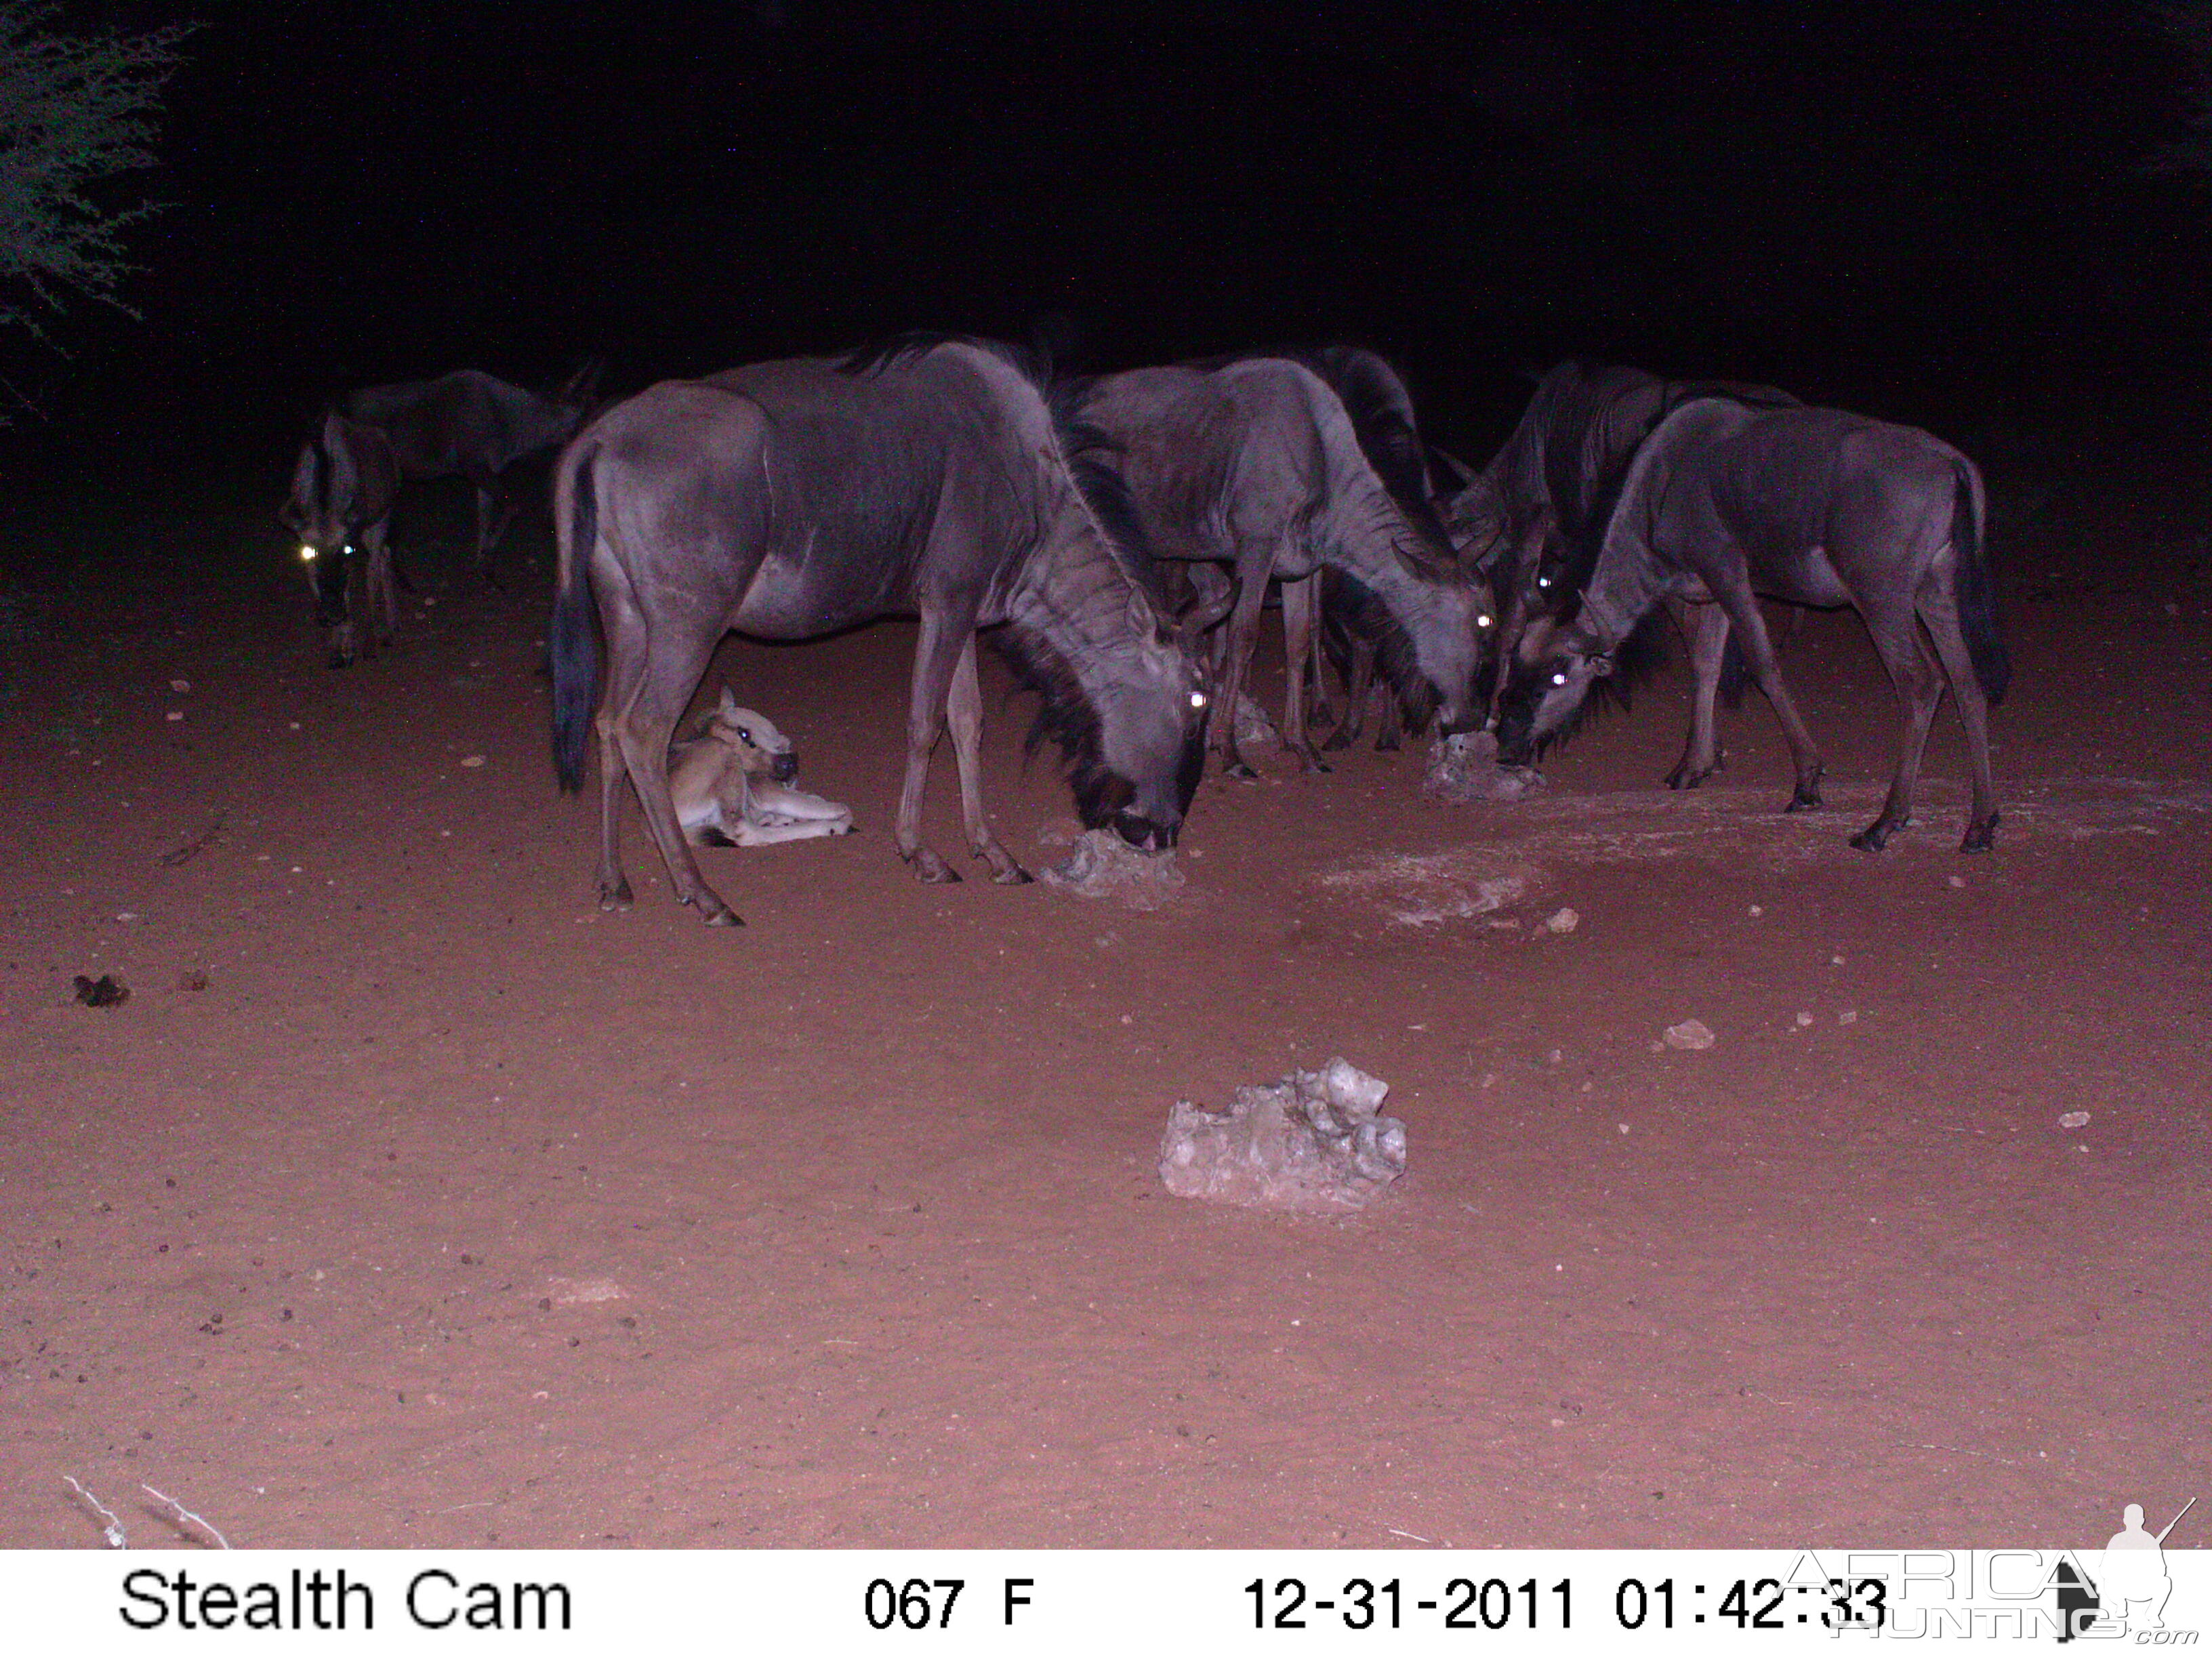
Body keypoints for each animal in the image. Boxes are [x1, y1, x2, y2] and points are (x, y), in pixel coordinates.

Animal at [663, 690, 853, 844]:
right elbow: (822, 806)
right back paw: (830, 827)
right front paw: (839, 814)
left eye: (744, 733)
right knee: (746, 832)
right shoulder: (771, 794)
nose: (787, 764)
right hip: (718, 750)